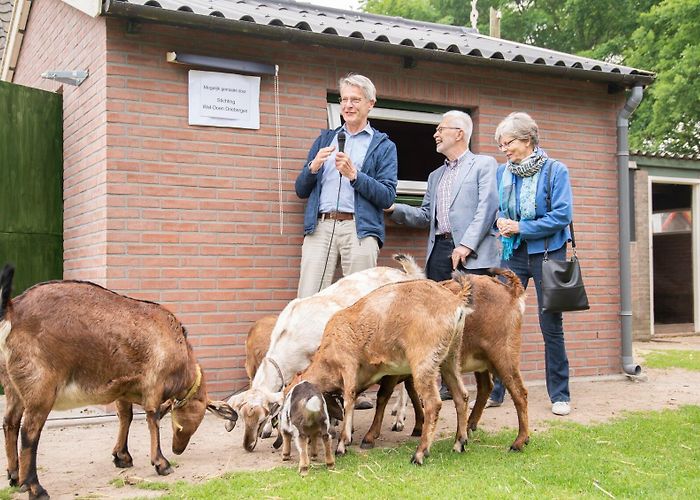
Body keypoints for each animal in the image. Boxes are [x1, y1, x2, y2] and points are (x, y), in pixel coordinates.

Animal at [0, 264, 238, 498]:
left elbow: (126, 417)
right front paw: (161, 463)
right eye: (196, 417)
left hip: (12, 386)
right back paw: (35, 487)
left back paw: (14, 476)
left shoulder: (123, 390)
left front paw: (122, 457)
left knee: (10, 422)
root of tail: (12, 310)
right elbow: (152, 418)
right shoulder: (154, 383)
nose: (178, 449)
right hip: (40, 387)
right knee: (29, 431)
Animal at [292, 278, 474, 464]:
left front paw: (343, 443)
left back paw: (420, 453)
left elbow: (350, 399)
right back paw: (459, 443)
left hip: (424, 361)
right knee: (461, 396)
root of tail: (455, 300)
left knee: (433, 403)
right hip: (449, 357)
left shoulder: (349, 365)